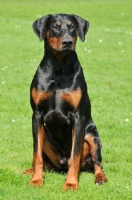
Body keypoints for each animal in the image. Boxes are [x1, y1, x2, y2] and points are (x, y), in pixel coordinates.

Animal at [24, 13, 107, 189]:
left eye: (72, 26)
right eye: (55, 27)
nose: (67, 41)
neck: (58, 67)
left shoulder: (78, 117)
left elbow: (75, 154)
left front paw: (71, 183)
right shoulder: (36, 115)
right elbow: (36, 154)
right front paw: (36, 180)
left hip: (92, 137)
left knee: (97, 164)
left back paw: (100, 178)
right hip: (46, 137)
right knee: (46, 162)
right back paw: (31, 171)